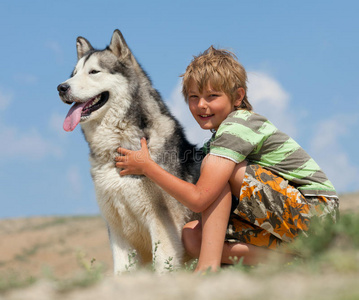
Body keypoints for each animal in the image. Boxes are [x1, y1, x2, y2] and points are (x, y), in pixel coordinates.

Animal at [57, 30, 201, 274]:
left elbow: (163, 266)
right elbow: (121, 271)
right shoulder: (117, 230)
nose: (61, 88)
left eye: (94, 72)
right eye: (73, 74)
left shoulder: (162, 225)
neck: (117, 147)